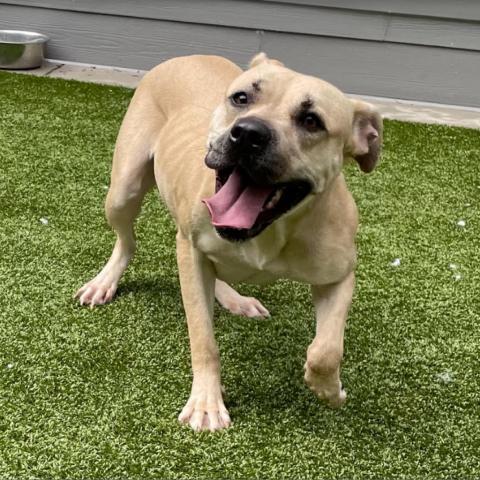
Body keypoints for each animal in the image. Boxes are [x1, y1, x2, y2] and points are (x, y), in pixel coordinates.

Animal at [75, 53, 382, 432]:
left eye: (312, 121)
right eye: (241, 98)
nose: (248, 134)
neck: (271, 230)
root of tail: (185, 56)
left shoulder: (339, 275)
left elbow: (326, 350)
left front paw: (329, 389)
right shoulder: (190, 251)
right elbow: (203, 339)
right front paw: (207, 402)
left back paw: (235, 298)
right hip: (123, 191)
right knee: (127, 241)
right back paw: (105, 281)